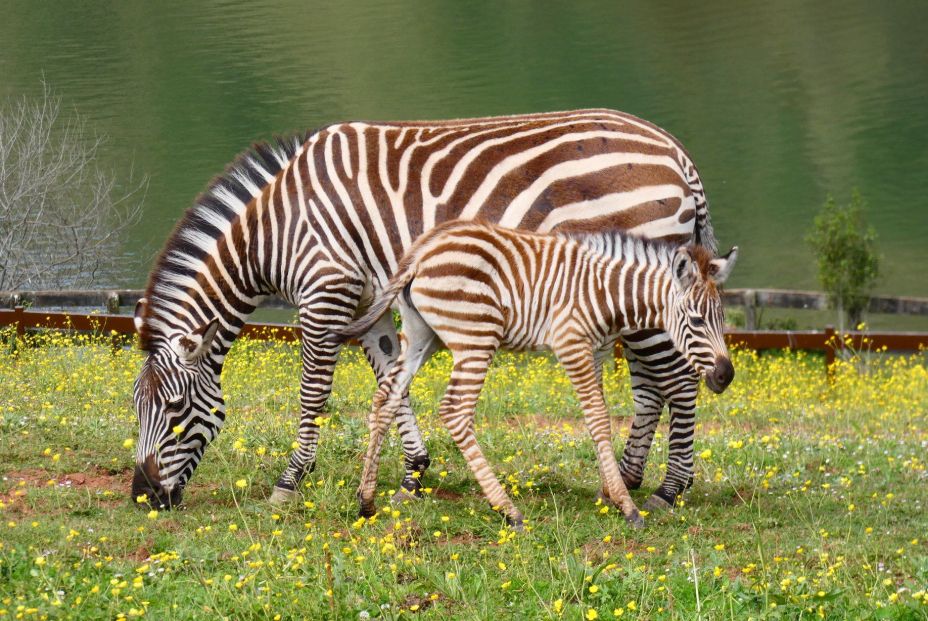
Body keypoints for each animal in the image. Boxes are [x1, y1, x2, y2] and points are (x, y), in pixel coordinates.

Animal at [130, 110, 716, 508]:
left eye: (176, 411)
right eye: (136, 408)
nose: (142, 496)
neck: (277, 230)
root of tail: (677, 151)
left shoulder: (326, 292)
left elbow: (314, 392)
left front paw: (290, 481)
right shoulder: (370, 302)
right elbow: (393, 379)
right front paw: (414, 472)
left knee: (678, 382)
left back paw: (669, 489)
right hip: (637, 293)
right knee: (651, 388)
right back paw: (626, 479)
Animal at [338, 220, 736, 524]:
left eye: (722, 318)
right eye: (697, 321)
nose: (725, 376)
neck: (605, 292)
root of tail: (423, 250)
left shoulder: (596, 350)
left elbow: (599, 419)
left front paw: (610, 491)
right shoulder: (571, 343)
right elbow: (598, 416)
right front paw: (626, 505)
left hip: (422, 334)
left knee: (386, 397)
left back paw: (366, 500)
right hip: (475, 337)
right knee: (455, 411)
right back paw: (507, 509)